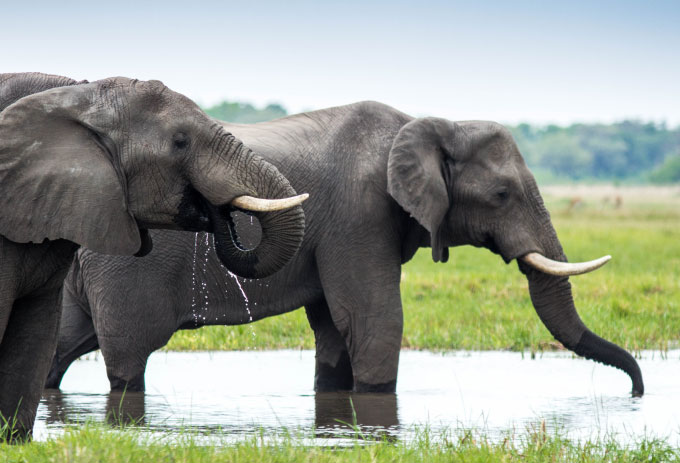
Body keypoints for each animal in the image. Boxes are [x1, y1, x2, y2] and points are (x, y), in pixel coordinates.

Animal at [46, 100, 644, 398]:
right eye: (501, 195)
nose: (637, 393)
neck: (427, 123)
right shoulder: (361, 215)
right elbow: (374, 318)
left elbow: (335, 327)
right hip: (124, 267)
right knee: (128, 359)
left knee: (63, 342)